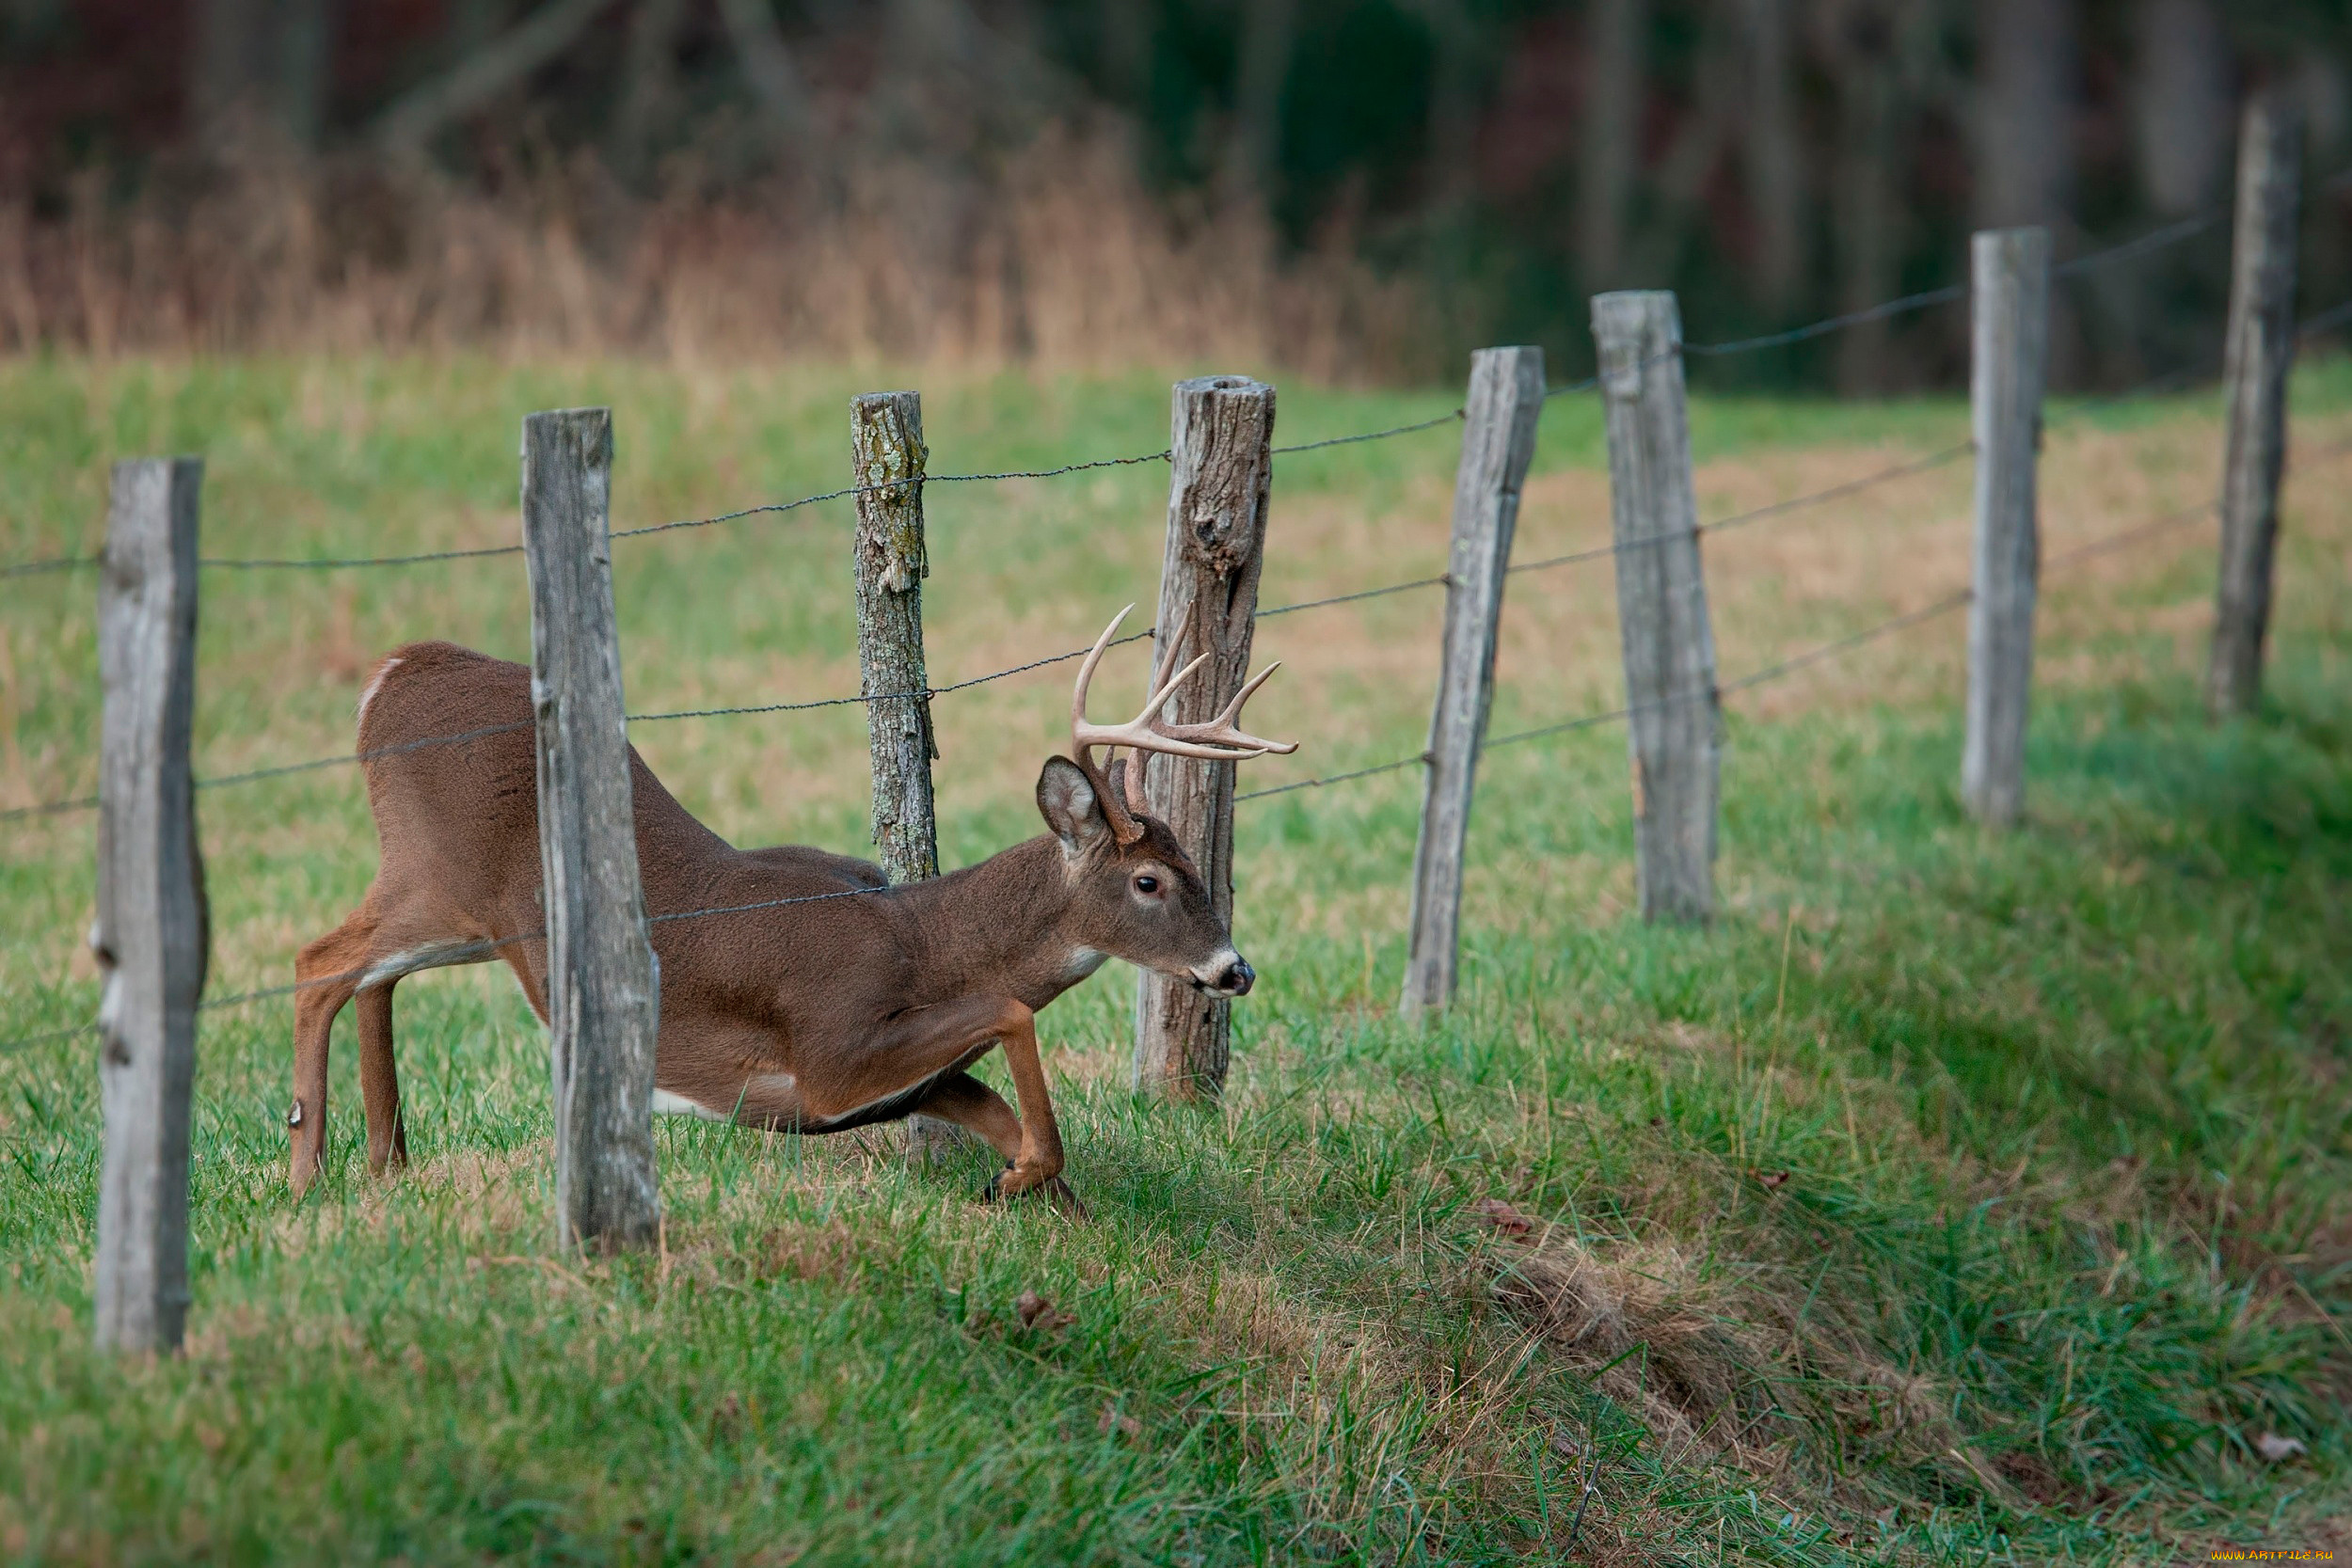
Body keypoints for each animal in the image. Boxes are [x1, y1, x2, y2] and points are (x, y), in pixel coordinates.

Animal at [289, 606, 1308, 1212]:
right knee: (320, 960)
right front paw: (1017, 1175)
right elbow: (1013, 1012)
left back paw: (387, 1161)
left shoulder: (911, 1077)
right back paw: (307, 1172)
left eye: (1195, 864)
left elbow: (1008, 1113)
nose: (1233, 968)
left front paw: (1030, 1184)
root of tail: (392, 672)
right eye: (1149, 882)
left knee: (372, 975)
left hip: (462, 920)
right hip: (436, 874)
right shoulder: (828, 1053)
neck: (923, 942)